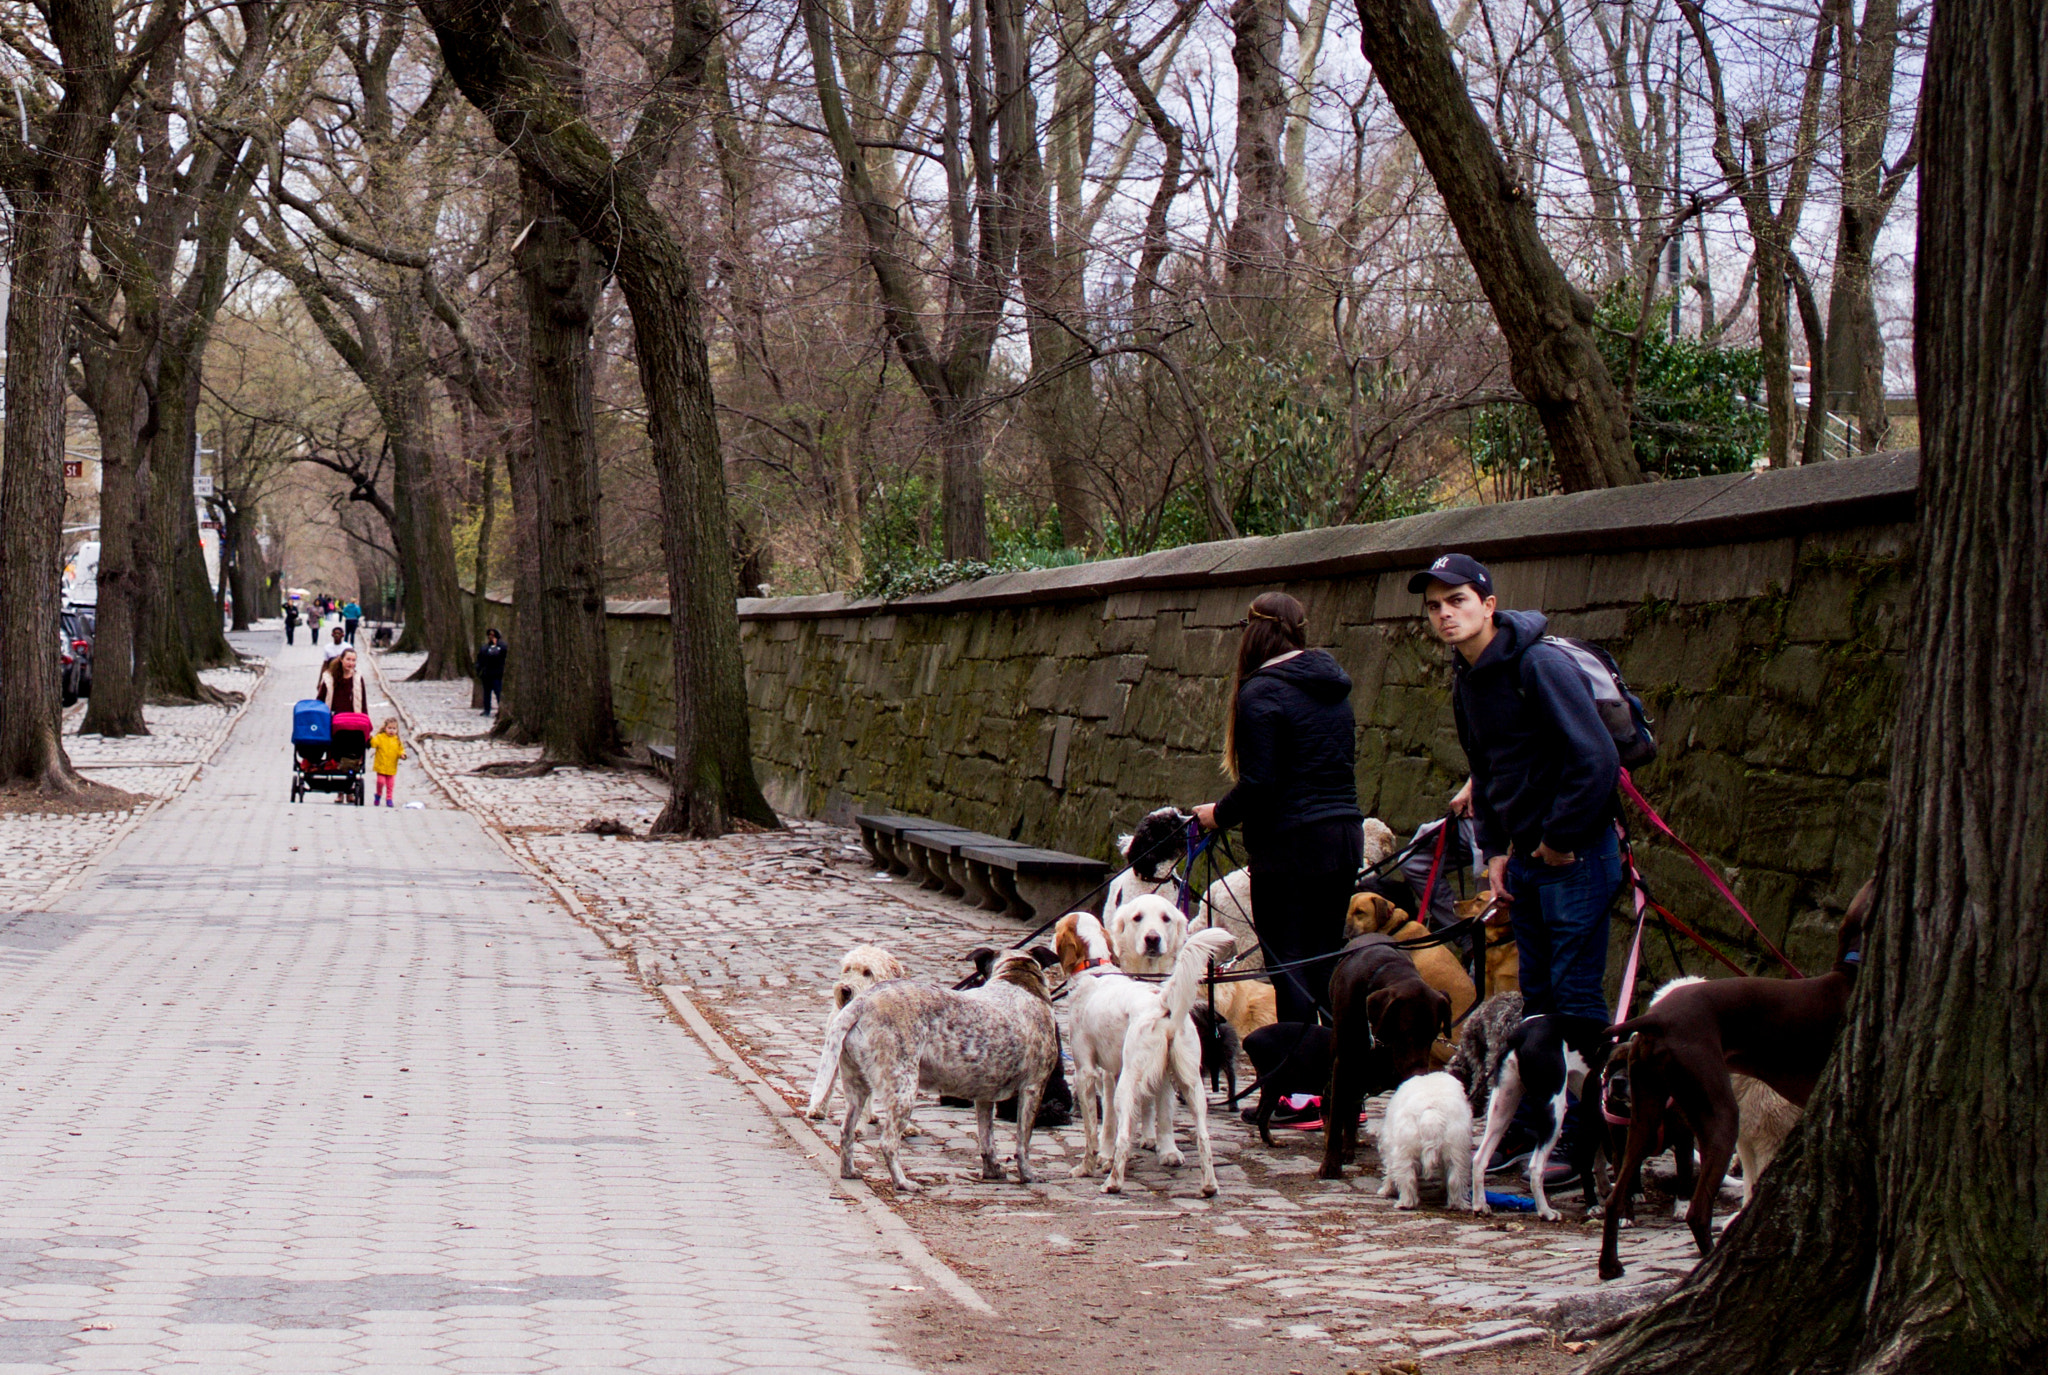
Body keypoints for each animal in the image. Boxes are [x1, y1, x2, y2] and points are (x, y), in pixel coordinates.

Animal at [1056, 913, 1228, 1196]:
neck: (1094, 969)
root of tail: (1162, 1003)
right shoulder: (1112, 1072)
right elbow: (1110, 1126)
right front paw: (1105, 1158)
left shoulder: (1086, 1073)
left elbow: (1093, 1131)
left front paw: (1086, 1167)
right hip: (1190, 1083)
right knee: (1203, 1137)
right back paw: (1210, 1186)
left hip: (1130, 1081)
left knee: (1126, 1135)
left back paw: (1113, 1182)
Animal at [1318, 934, 1449, 1180]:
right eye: (1405, 1032)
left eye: (1432, 1036)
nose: (1420, 1074)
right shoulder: (1344, 1064)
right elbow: (1338, 1114)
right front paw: (1331, 1164)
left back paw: (1350, 1147)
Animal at [1376, 1073, 1474, 1213]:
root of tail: (1432, 1111)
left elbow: (1389, 1172)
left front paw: (1386, 1190)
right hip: (1458, 1151)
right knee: (1455, 1178)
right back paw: (1457, 1204)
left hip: (1404, 1152)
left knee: (1407, 1178)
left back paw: (1405, 1203)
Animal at [1597, 881, 1875, 1278]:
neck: (1849, 971)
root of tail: (1655, 1019)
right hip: (1721, 1118)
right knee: (1697, 1211)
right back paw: (1708, 1259)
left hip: (1642, 1119)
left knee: (1615, 1199)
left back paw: (1610, 1266)